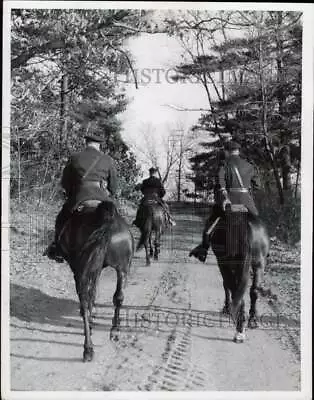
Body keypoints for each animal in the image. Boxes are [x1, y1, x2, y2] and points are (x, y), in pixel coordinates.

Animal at [58, 200, 133, 362]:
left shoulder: (79, 268)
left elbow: (89, 295)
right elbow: (94, 292)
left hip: (82, 268)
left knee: (85, 299)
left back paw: (88, 348)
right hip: (122, 267)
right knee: (118, 297)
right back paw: (115, 330)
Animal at [210, 209, 268, 344]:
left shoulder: (224, 264)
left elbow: (226, 285)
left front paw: (226, 308)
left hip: (228, 264)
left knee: (236, 292)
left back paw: (239, 328)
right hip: (259, 264)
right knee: (253, 290)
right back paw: (252, 320)